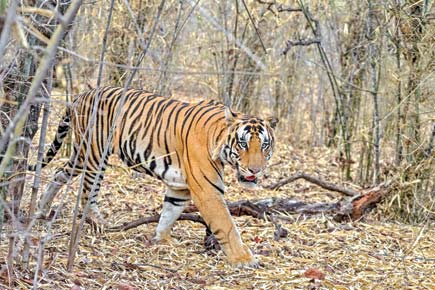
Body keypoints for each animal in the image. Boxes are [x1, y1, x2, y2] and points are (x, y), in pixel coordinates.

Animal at [33, 85, 280, 266]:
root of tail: (83, 94)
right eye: (243, 144)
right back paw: (98, 223)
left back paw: (42, 209)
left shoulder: (180, 187)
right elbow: (227, 226)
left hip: (80, 155)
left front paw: (162, 239)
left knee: (58, 173)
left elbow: (169, 212)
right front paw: (243, 259)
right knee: (87, 192)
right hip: (94, 154)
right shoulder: (207, 190)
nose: (256, 170)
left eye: (264, 145)